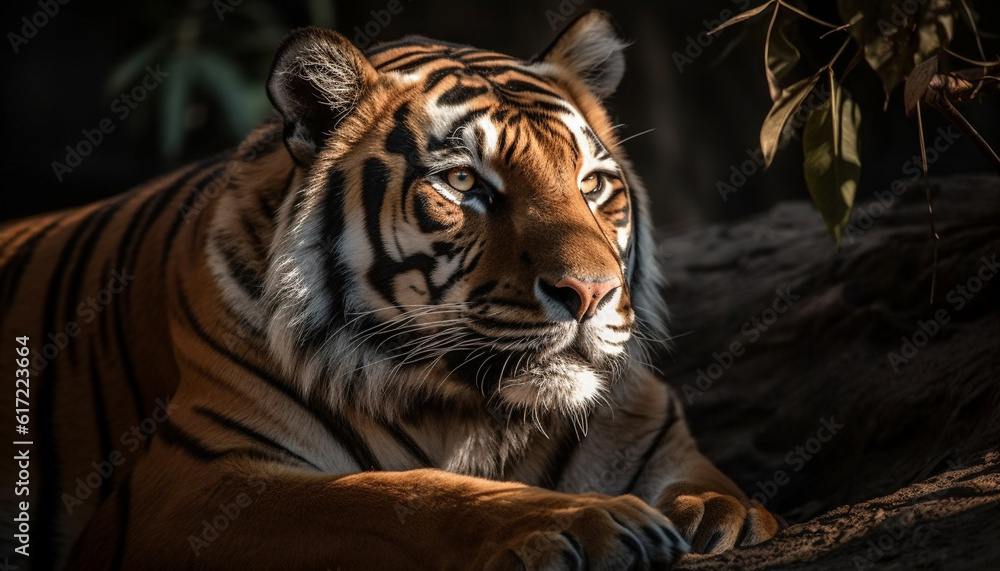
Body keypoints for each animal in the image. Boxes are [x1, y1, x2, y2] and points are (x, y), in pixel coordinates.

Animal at [0, 11, 776, 568]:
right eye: (463, 182)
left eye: (591, 184)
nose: (589, 292)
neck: (474, 413)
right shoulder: (192, 485)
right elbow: (394, 495)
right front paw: (584, 518)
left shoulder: (654, 433)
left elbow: (719, 490)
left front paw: (718, 516)